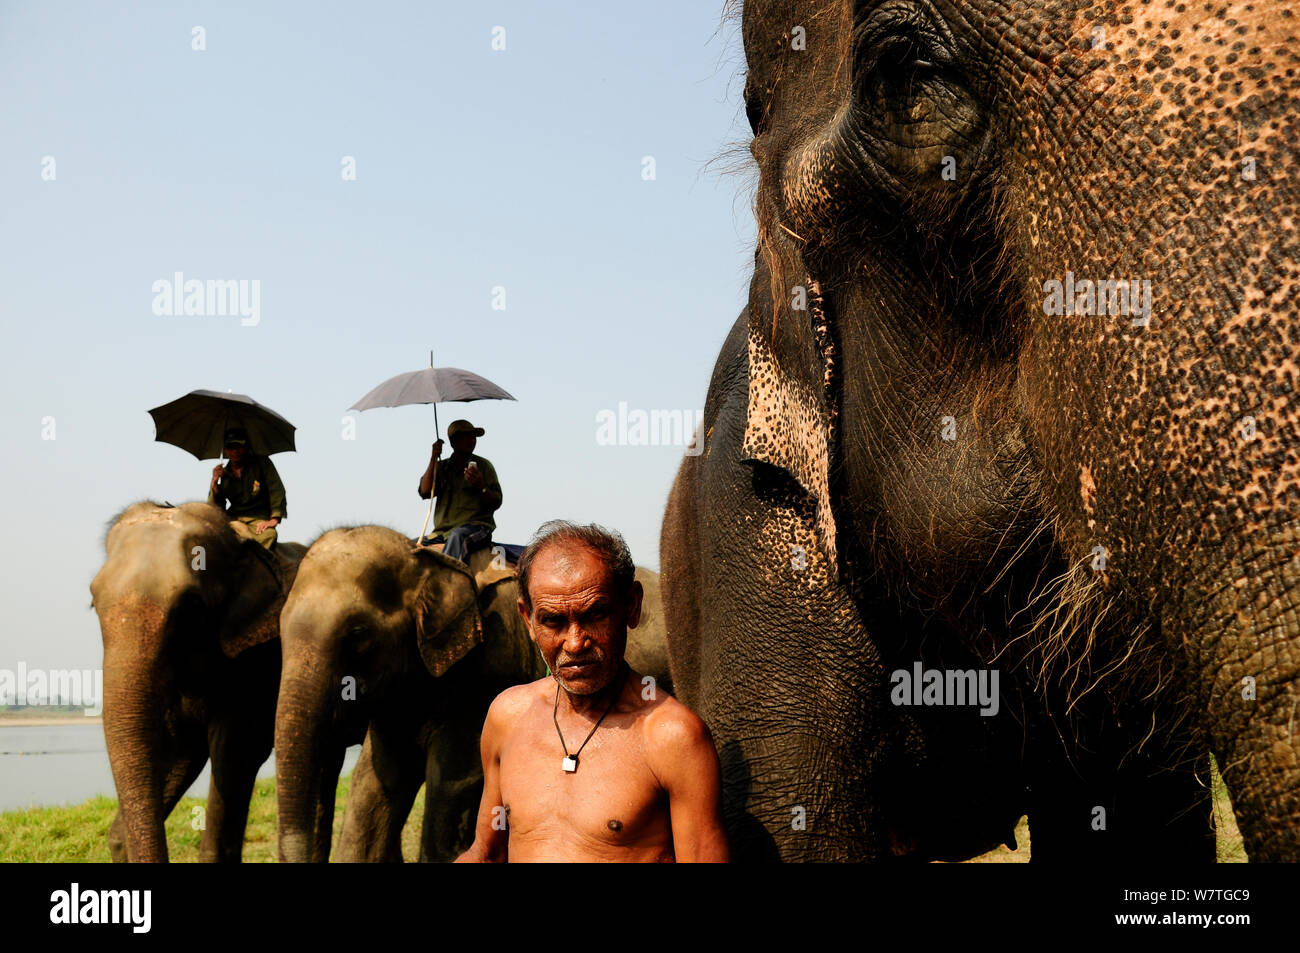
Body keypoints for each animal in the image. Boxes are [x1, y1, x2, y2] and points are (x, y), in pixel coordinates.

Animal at [91, 501, 312, 858]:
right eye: (93, 601)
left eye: (191, 606)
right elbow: (178, 748)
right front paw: (120, 836)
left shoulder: (258, 661)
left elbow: (235, 751)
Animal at [278, 525, 676, 858]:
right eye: (278, 629)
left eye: (358, 634)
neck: (426, 557)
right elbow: (373, 788)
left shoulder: (486, 674)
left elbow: (451, 787)